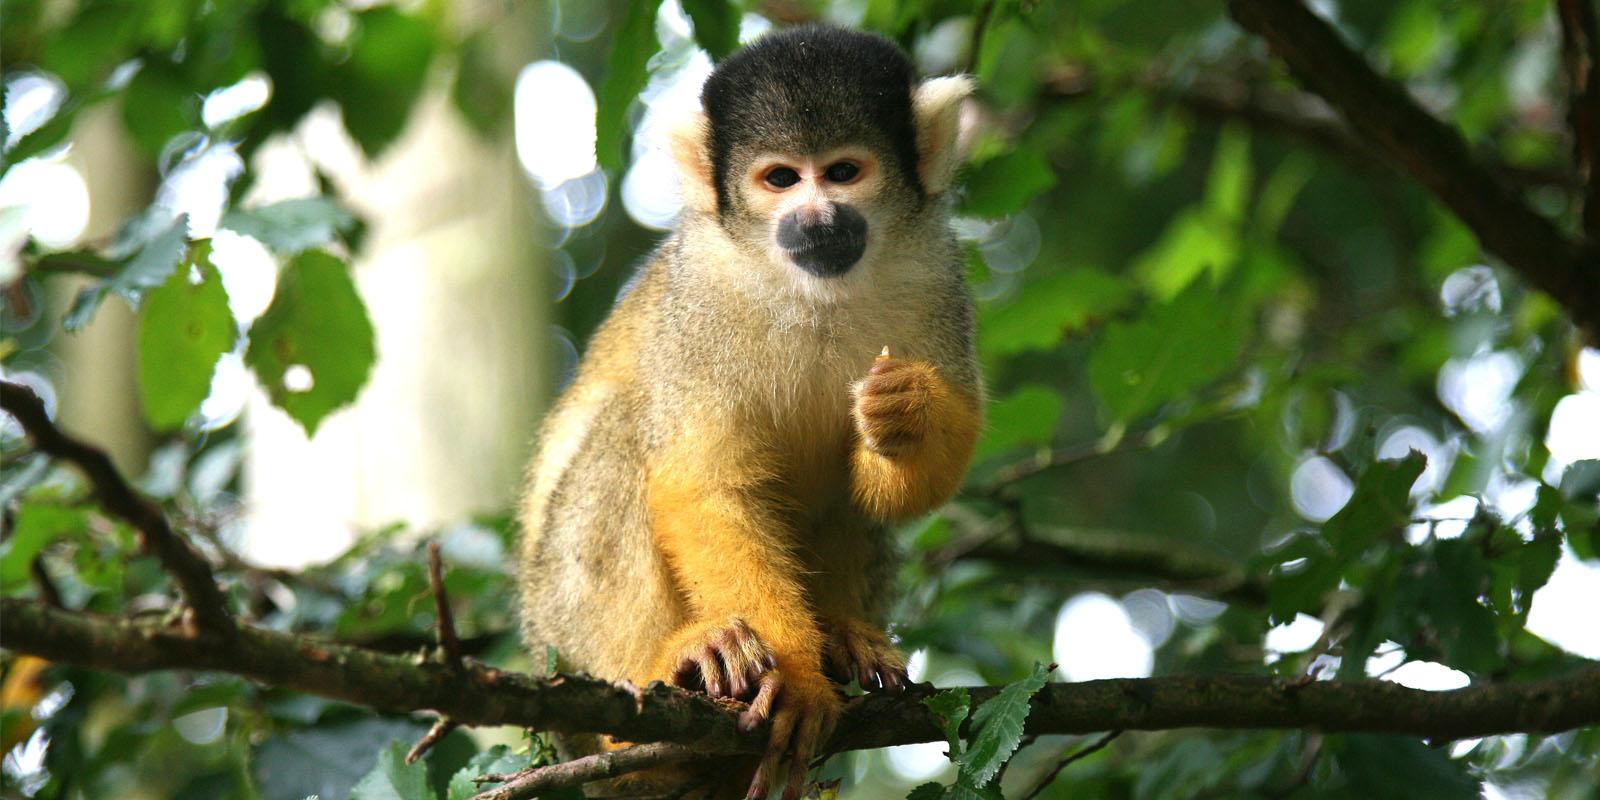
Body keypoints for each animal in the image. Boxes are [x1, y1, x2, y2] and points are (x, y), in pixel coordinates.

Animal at [518, 25, 979, 800]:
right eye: (781, 180)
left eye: (843, 171)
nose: (817, 219)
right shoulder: (700, 295)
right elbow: (704, 484)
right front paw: (796, 679)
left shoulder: (938, 273)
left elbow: (909, 482)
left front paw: (905, 415)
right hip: (558, 634)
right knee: (624, 436)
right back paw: (663, 681)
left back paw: (844, 633)